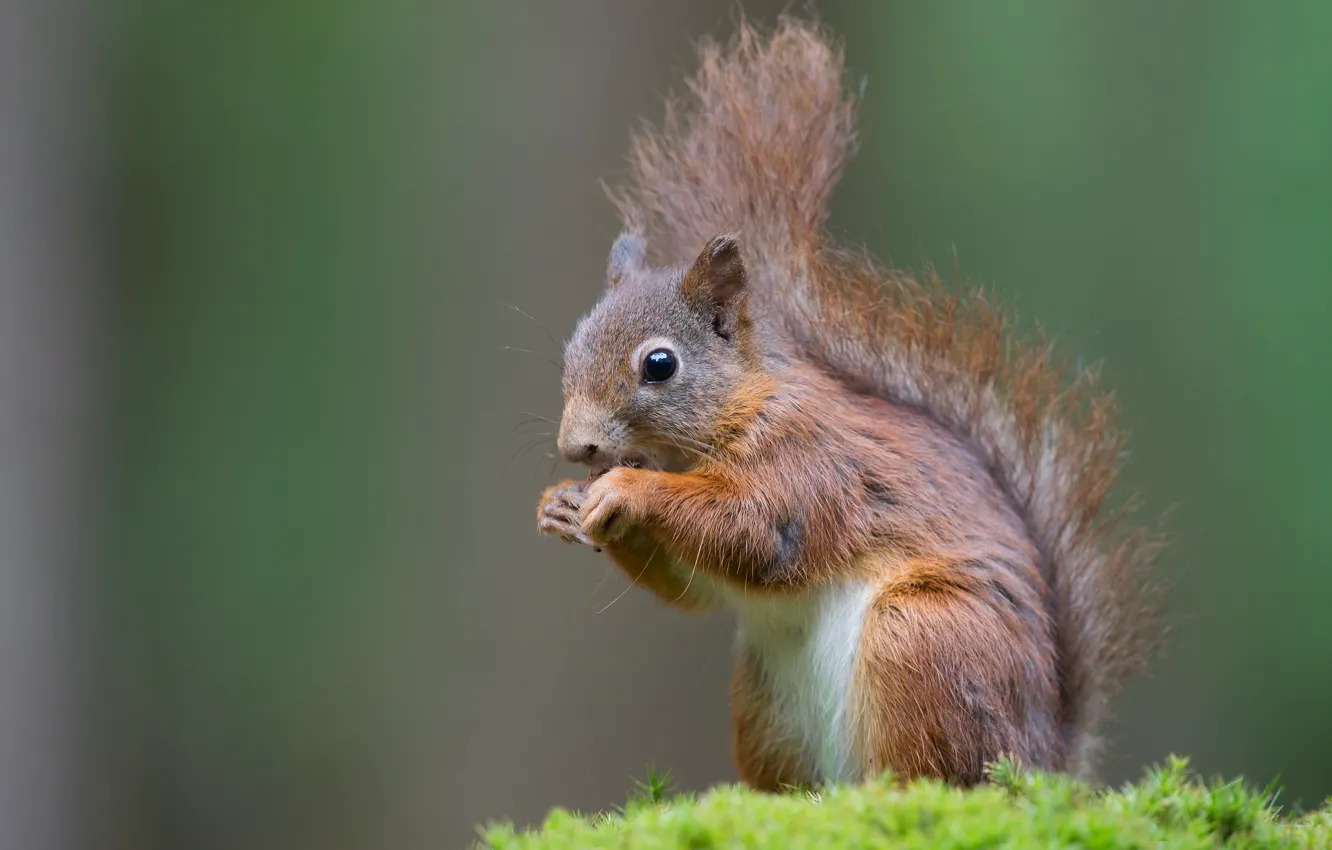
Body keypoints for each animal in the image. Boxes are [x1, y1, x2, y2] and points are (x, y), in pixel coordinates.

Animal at [536, 18, 1160, 789]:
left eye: (660, 365)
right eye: (570, 348)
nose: (576, 448)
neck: (728, 419)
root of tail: (1043, 759)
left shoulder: (812, 462)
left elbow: (755, 532)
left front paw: (626, 488)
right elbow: (696, 589)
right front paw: (561, 505)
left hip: (923, 639)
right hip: (765, 702)